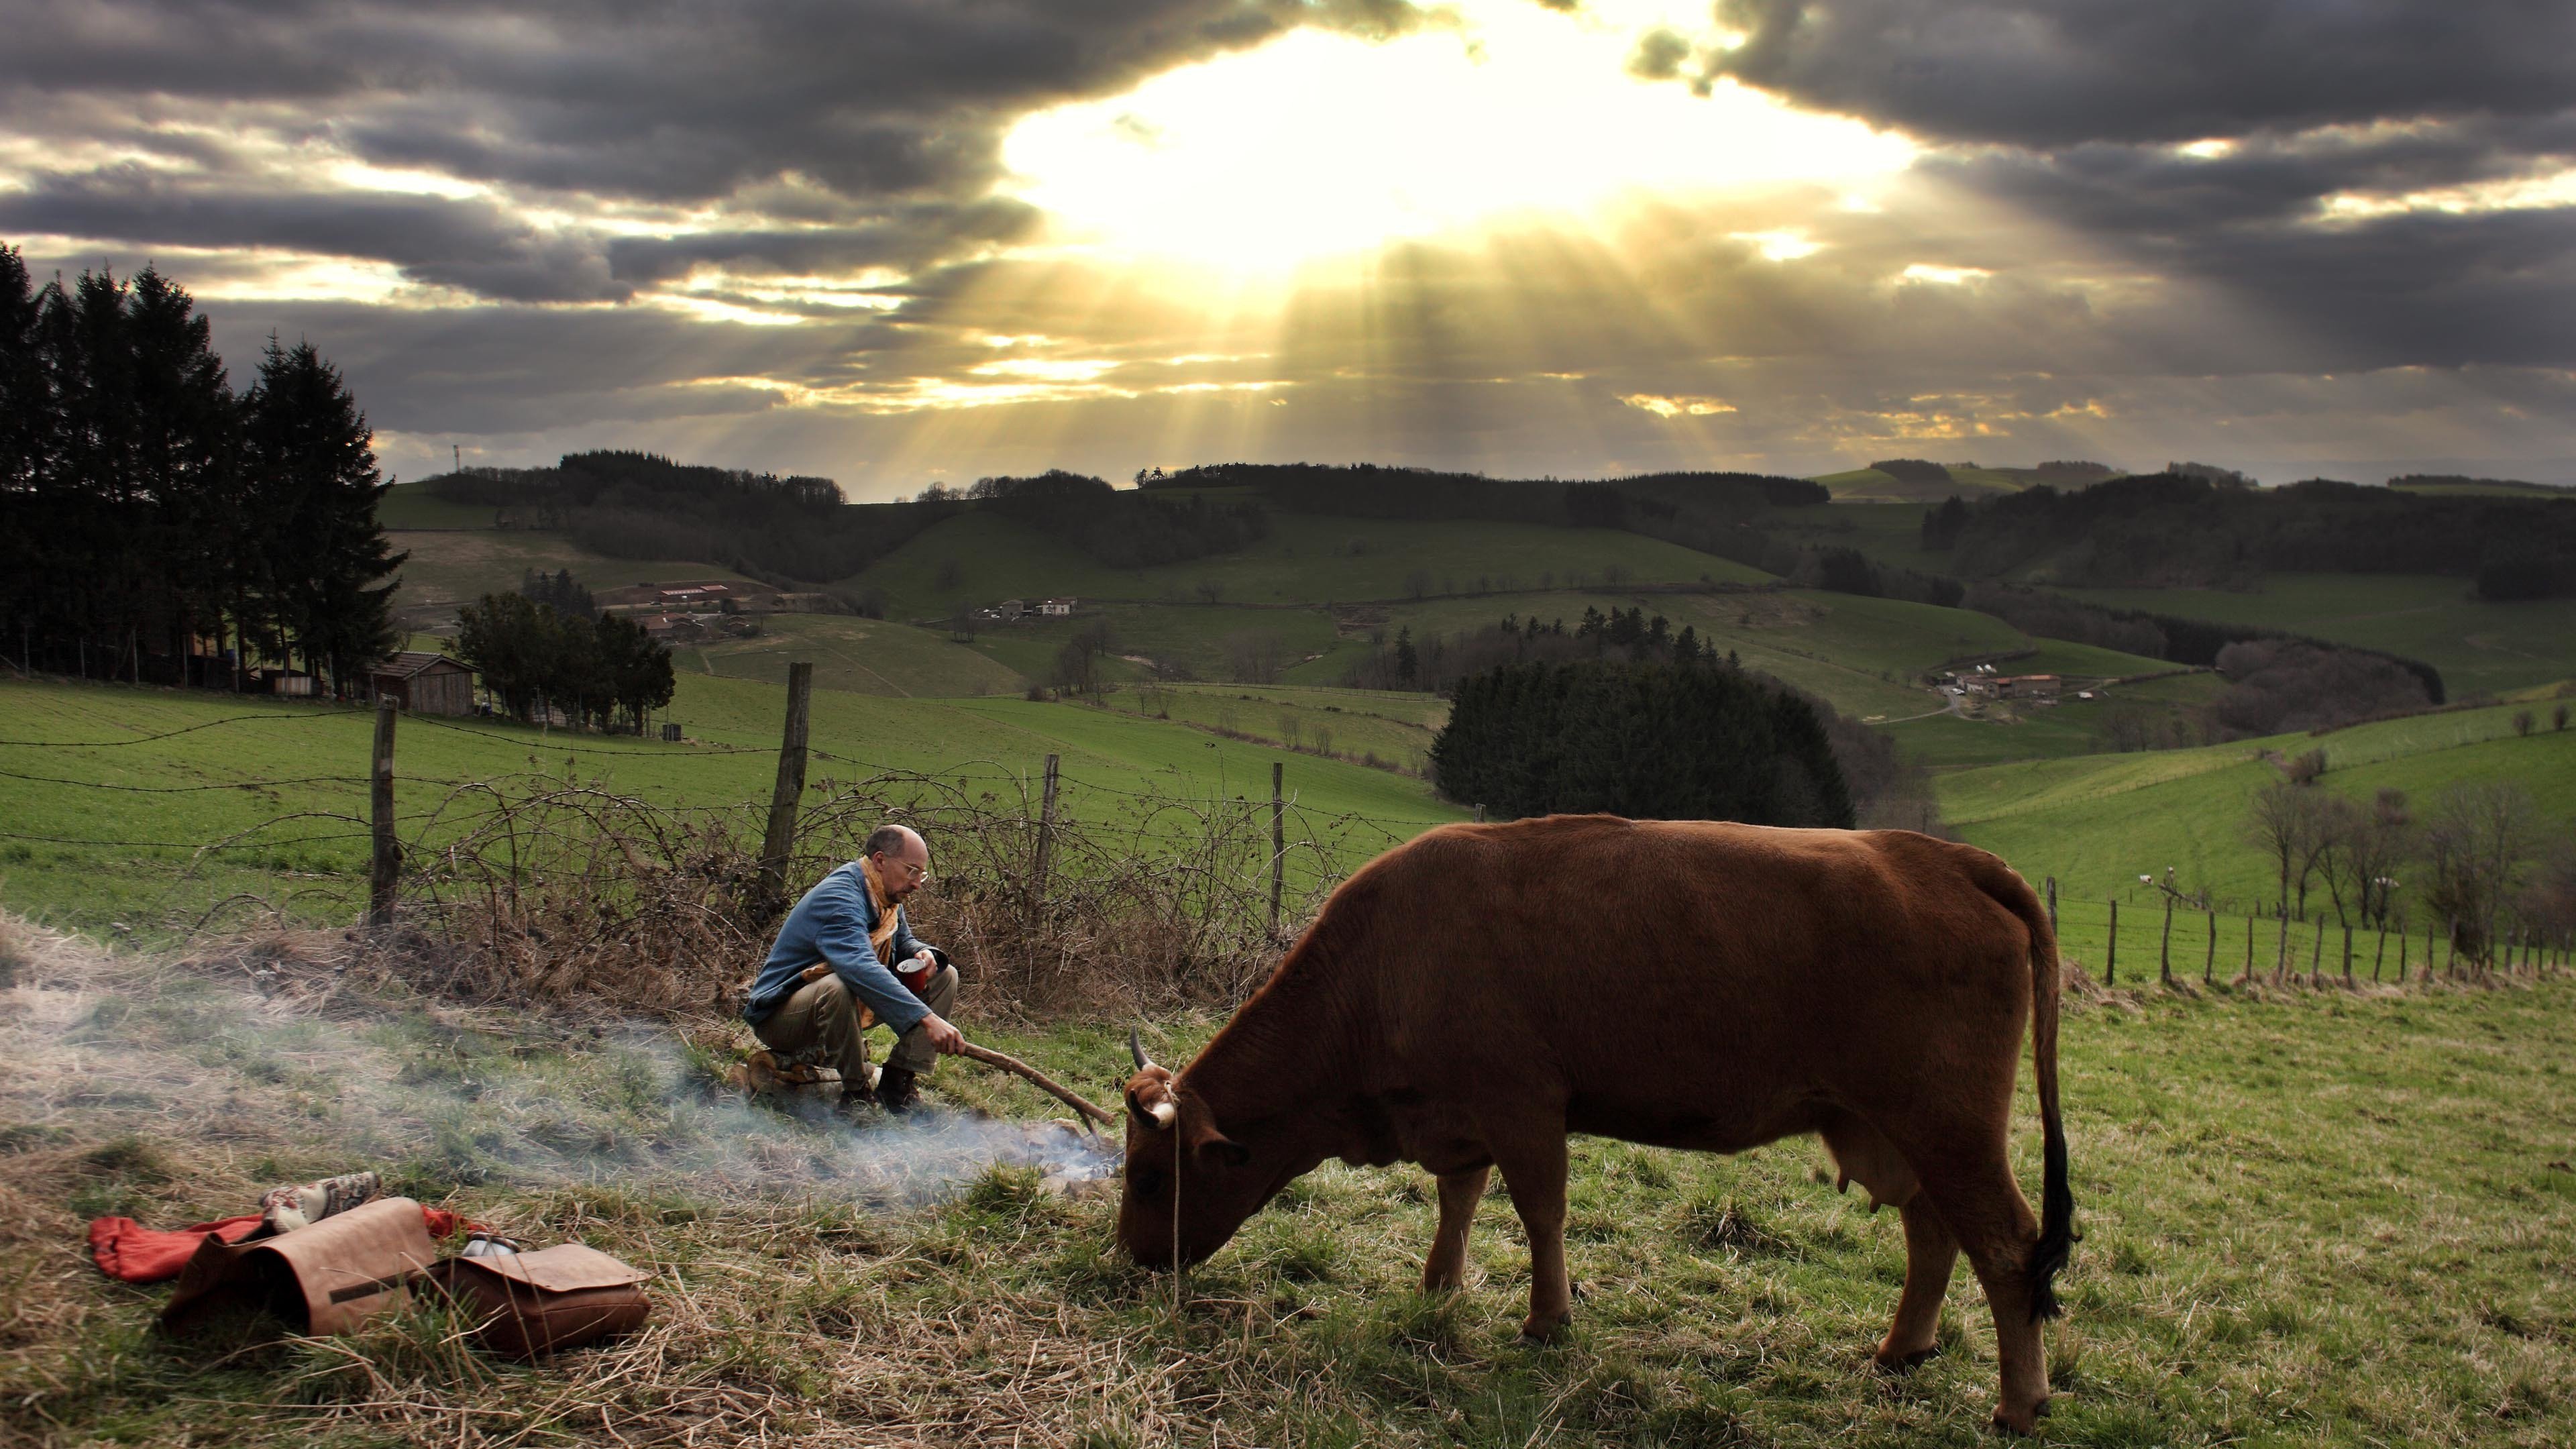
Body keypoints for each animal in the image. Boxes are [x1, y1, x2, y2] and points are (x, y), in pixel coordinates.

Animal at [1123, 814, 2071, 1423]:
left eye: (1151, 1174)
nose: (1131, 1258)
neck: (1386, 960)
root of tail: (1946, 860)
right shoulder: (1460, 1118)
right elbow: (1459, 1202)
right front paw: (1438, 1288)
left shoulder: (1524, 1108)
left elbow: (1540, 1213)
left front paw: (1547, 1321)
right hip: (1893, 1129)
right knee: (1933, 1231)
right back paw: (1901, 1349)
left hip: (1949, 1127)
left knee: (2008, 1247)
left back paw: (2019, 1403)